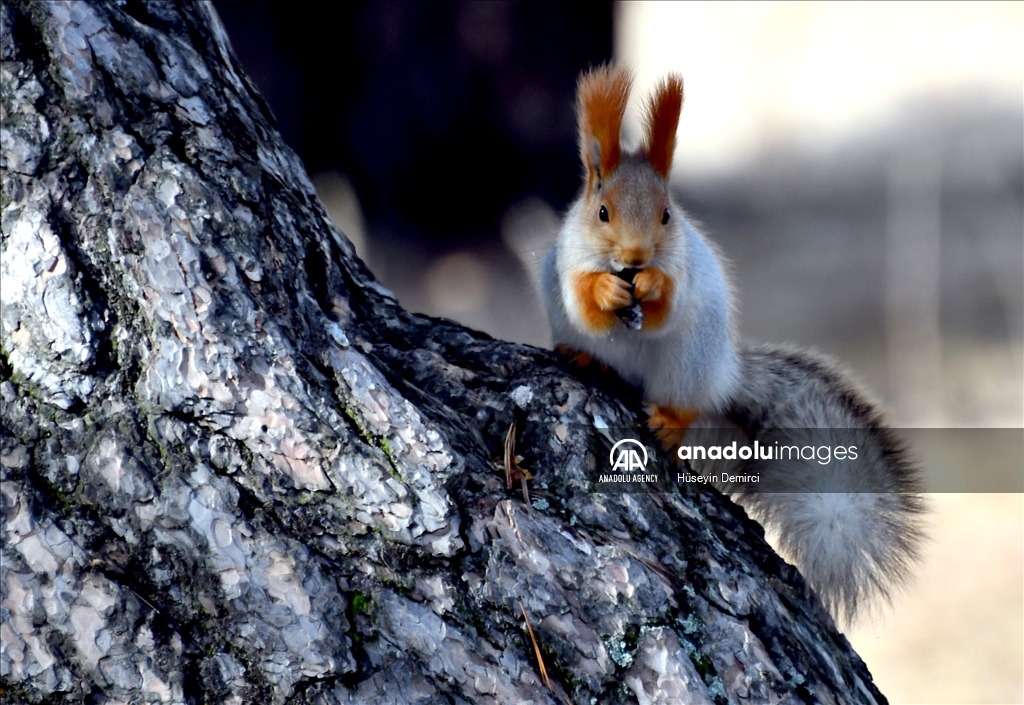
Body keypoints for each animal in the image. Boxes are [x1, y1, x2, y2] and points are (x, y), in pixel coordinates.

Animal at [544, 66, 929, 623]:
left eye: (667, 215)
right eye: (601, 212)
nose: (637, 257)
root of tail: (724, 373)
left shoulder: (681, 268)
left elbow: (666, 304)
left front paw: (653, 287)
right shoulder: (567, 264)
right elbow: (584, 303)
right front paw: (607, 293)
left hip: (689, 364)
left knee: (683, 401)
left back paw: (669, 421)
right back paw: (585, 357)